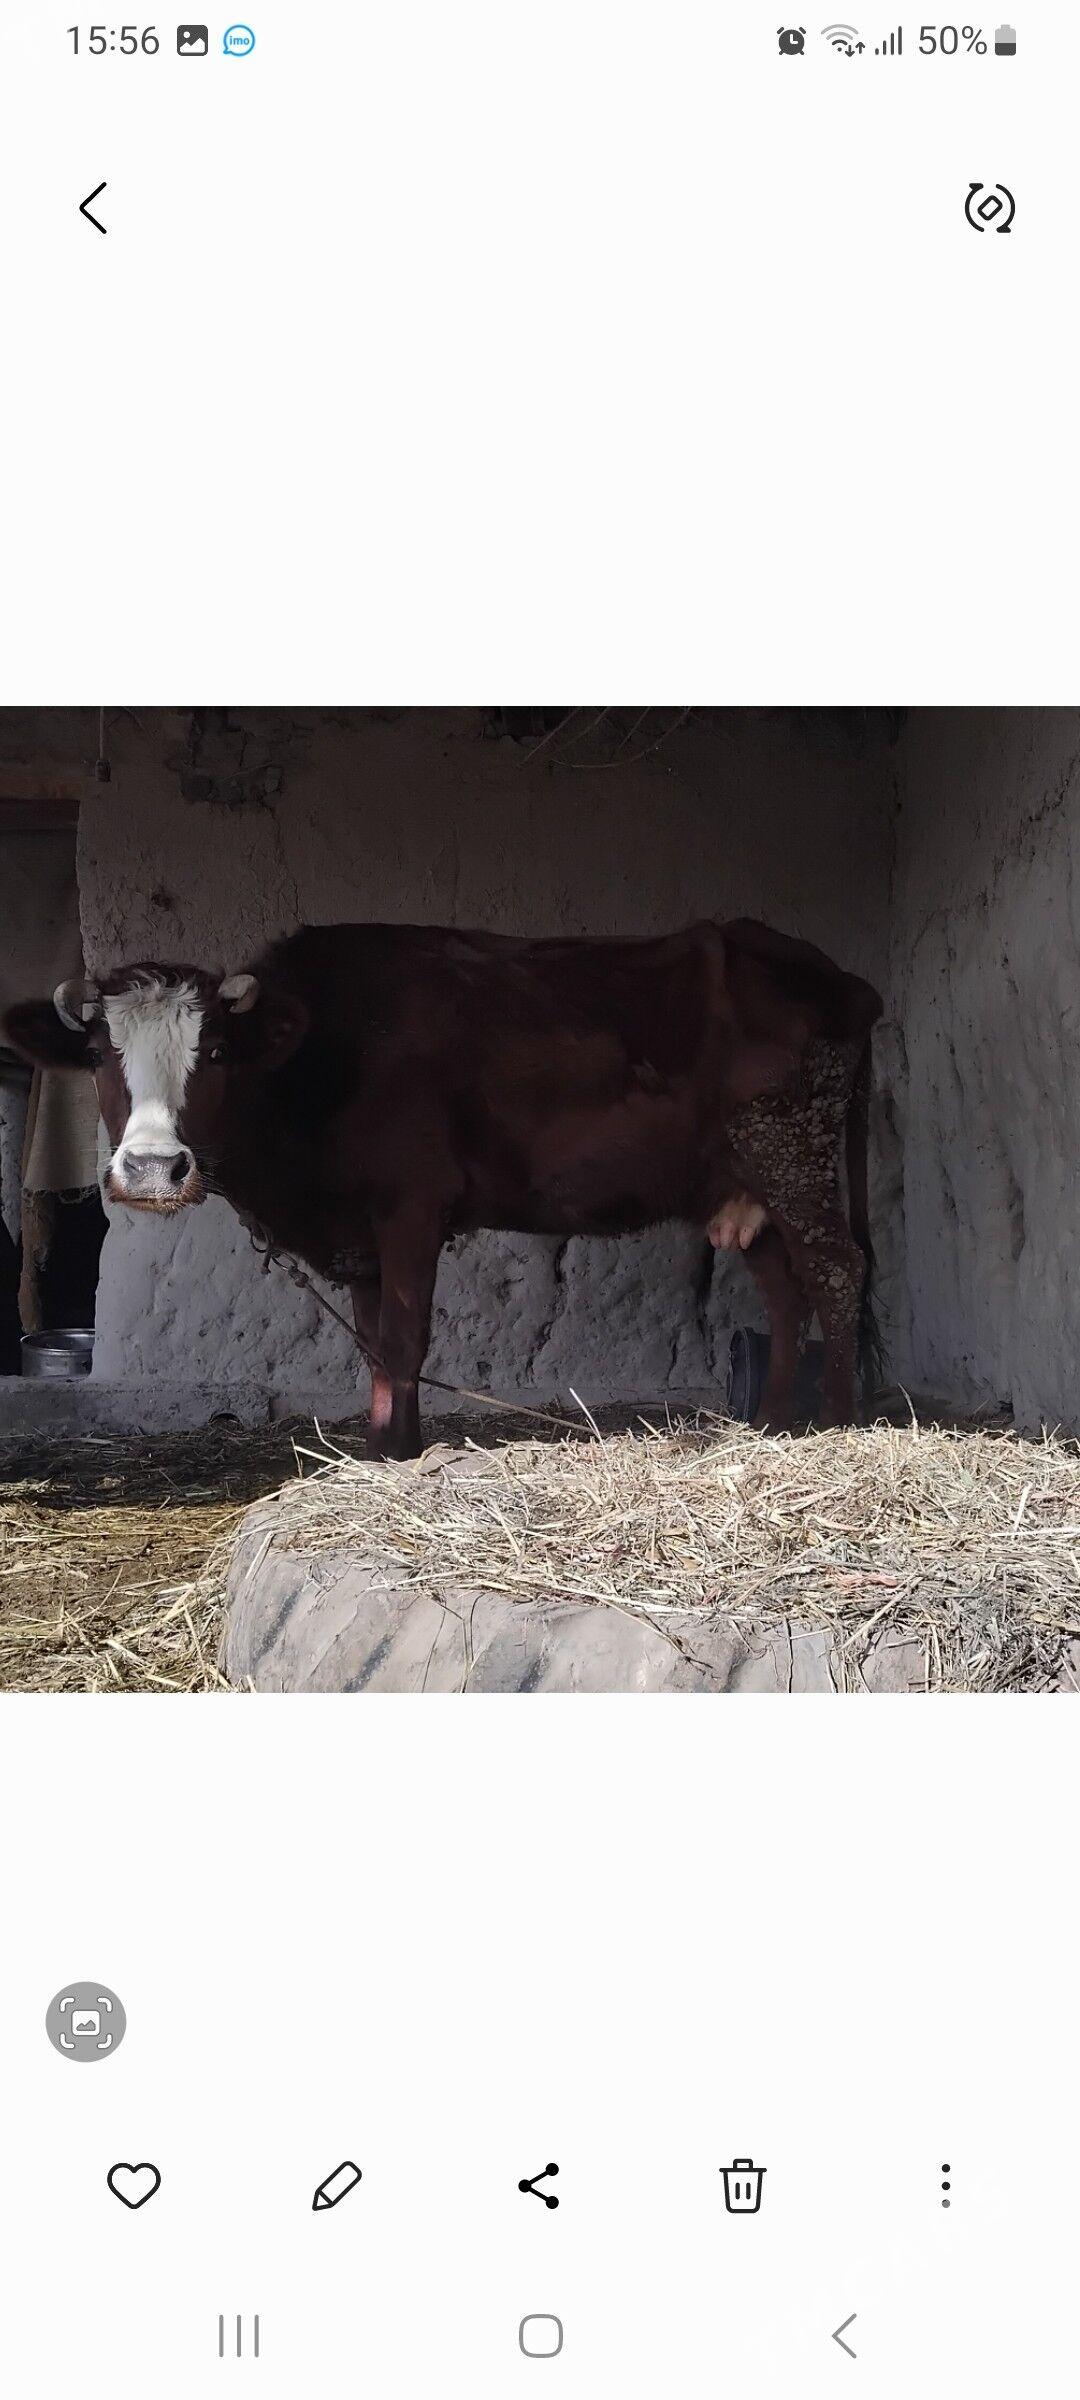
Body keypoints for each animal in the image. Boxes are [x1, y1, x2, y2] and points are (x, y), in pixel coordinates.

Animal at [3, 917, 883, 1457]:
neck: (322, 1057)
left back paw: (836, 1425)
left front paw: (400, 1453)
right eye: (101, 1058)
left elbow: (403, 1339)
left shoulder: (412, 1205)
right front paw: (380, 1446)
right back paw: (772, 1426)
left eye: (215, 1053)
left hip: (790, 1149)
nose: (153, 1169)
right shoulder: (357, 1234)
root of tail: (835, 975)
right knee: (785, 1290)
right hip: (745, 1182)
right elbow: (374, 1347)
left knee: (836, 1270)